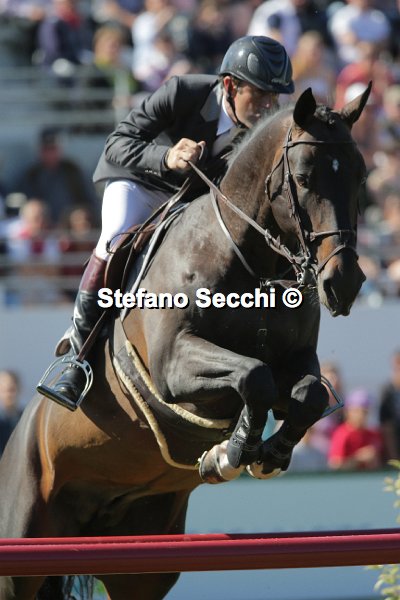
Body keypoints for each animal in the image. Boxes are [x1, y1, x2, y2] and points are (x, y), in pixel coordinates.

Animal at [0, 84, 370, 600]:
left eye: (360, 175)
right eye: (303, 176)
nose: (344, 284)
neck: (249, 262)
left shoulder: (298, 361)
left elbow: (307, 393)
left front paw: (267, 453)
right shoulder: (173, 368)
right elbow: (254, 377)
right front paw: (231, 453)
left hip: (141, 559)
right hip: (24, 544)